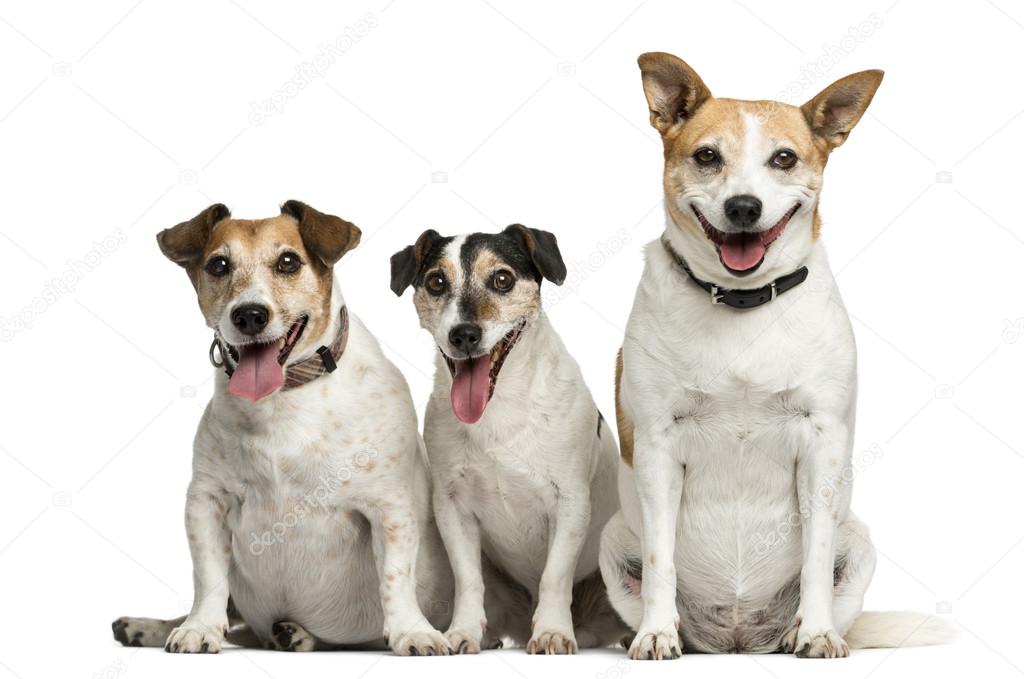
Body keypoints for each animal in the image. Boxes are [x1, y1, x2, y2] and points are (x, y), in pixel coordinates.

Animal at [109, 202, 456, 659]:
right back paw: (150, 626)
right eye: (219, 265)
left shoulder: (389, 509)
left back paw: (297, 634)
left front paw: (412, 632)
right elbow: (209, 578)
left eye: (288, 261)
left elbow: (395, 579)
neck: (285, 400)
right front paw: (200, 628)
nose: (249, 314)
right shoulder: (206, 502)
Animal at [389, 227, 622, 655]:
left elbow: (554, 576)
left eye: (502, 279)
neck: (499, 408)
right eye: (436, 282)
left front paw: (552, 632)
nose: (464, 335)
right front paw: (463, 632)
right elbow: (468, 580)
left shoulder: (570, 503)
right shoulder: (452, 507)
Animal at [598, 55, 950, 659]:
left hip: (859, 543)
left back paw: (794, 632)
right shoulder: (659, 446)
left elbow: (815, 559)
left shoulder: (821, 444)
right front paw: (655, 633)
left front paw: (816, 633)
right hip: (613, 540)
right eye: (707, 156)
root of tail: (737, 636)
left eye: (783, 158)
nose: (744, 207)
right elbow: (661, 562)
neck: (743, 304)